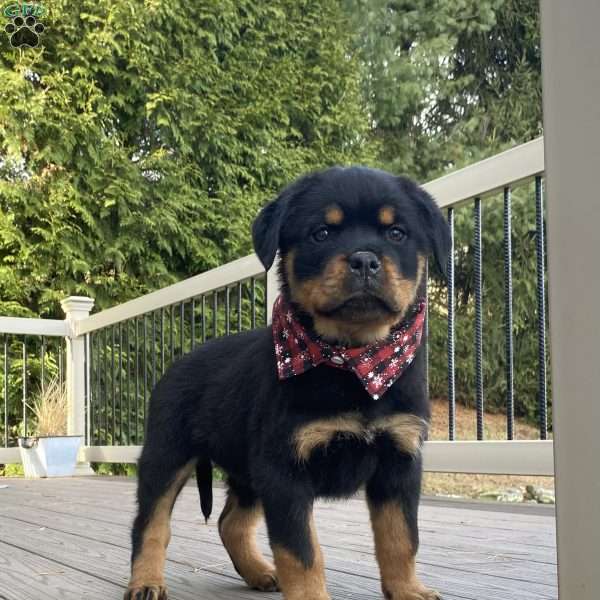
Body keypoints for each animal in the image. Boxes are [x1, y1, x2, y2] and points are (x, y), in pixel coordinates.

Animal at [124, 165, 448, 600]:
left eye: (396, 233)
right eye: (321, 234)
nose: (364, 259)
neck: (352, 361)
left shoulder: (400, 460)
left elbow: (401, 538)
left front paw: (408, 590)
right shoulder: (284, 468)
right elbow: (301, 550)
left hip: (247, 469)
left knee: (231, 521)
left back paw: (260, 572)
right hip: (167, 452)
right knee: (151, 523)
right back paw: (146, 582)